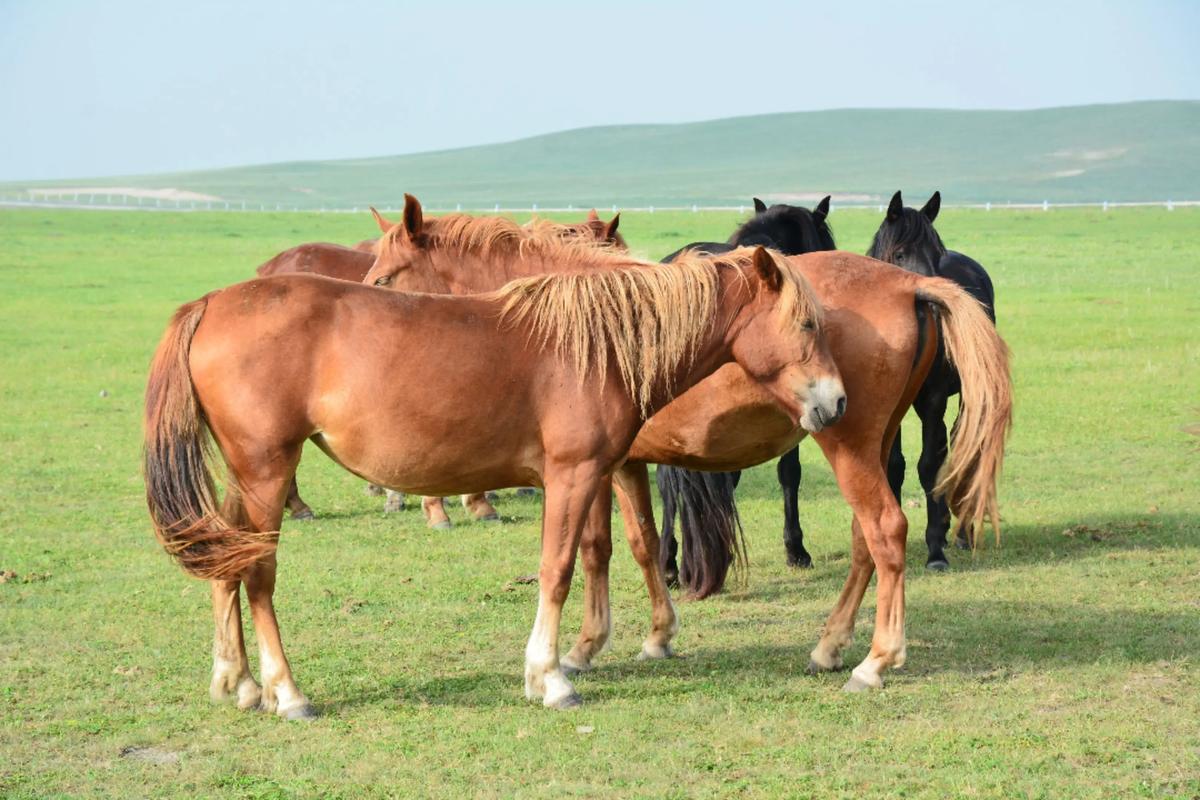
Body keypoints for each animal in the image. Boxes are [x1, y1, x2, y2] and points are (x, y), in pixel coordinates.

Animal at [868, 190, 998, 569]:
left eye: (937, 255)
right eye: (899, 254)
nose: (938, 307)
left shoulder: (934, 399)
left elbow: (928, 465)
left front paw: (935, 551)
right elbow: (893, 466)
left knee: (959, 446)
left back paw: (960, 532)